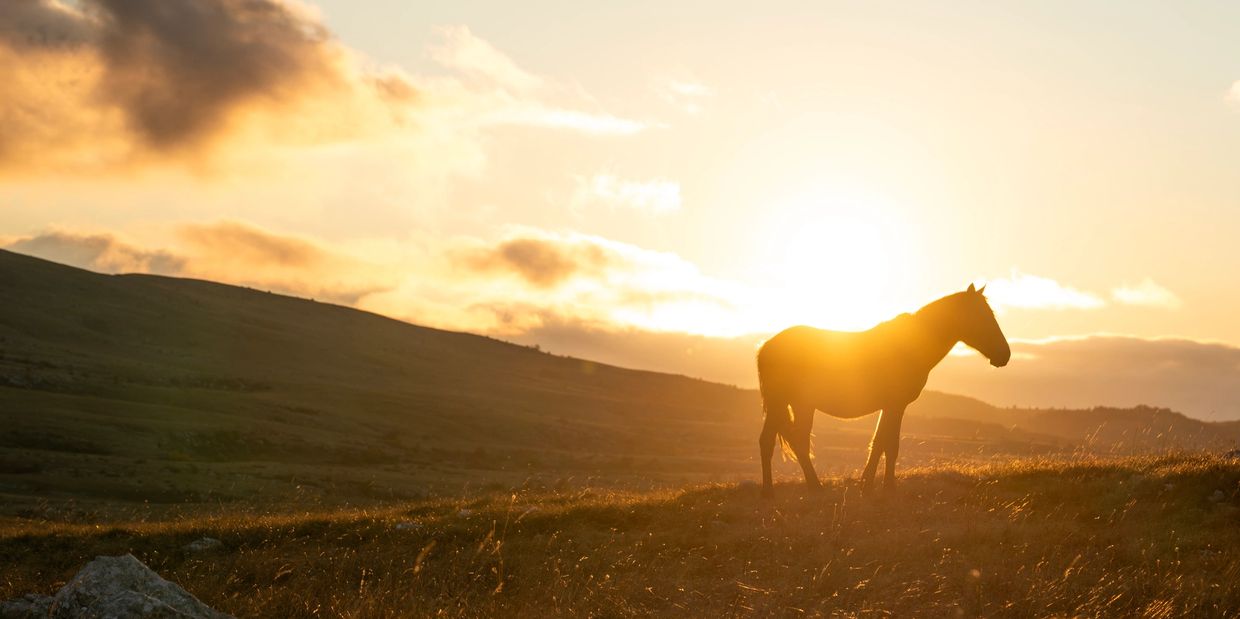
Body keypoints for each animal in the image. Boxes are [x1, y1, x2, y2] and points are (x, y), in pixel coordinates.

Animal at [756, 284, 1010, 497]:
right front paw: (877, 486)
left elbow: (885, 444)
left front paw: (878, 484)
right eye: (982, 316)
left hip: (796, 405)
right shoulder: (894, 405)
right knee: (778, 441)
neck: (910, 347)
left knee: (790, 441)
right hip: (785, 403)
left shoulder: (893, 407)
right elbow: (884, 444)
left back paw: (803, 487)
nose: (1005, 355)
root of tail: (766, 347)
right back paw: (783, 490)